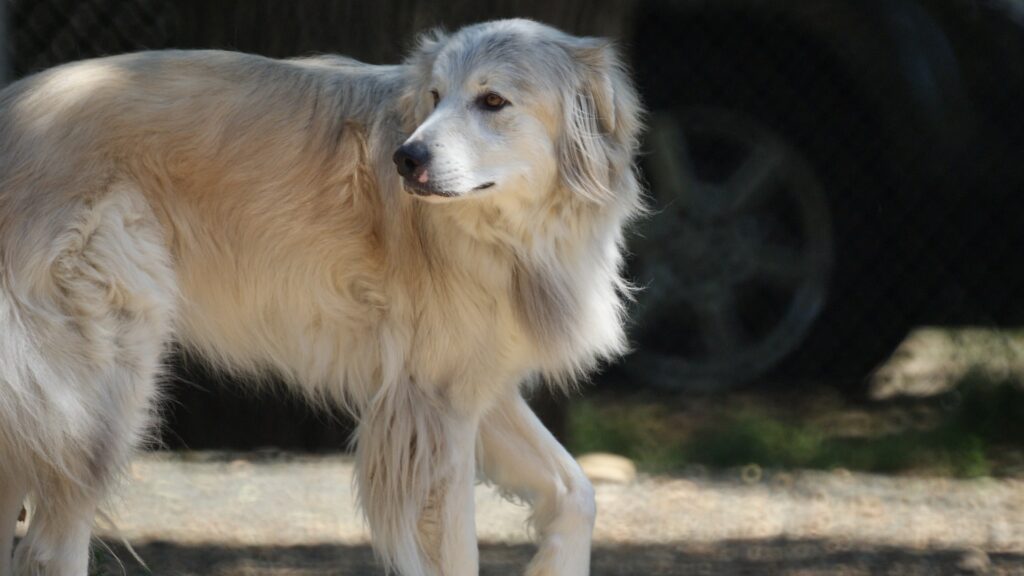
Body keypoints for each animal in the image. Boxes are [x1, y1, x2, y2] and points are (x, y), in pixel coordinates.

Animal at [0, 19, 638, 573]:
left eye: (493, 101)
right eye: (434, 97)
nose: (405, 159)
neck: (509, 232)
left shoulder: (472, 389)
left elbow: (577, 494)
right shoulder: (433, 410)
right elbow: (460, 555)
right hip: (106, 390)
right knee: (50, 549)